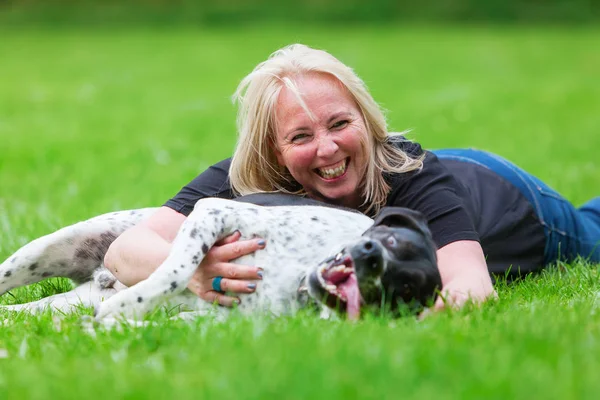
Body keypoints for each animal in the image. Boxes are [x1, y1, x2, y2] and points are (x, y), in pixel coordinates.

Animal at [0, 192, 440, 320]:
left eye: (403, 288)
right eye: (391, 240)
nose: (370, 254)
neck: (296, 277)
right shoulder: (214, 212)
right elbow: (176, 273)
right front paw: (124, 305)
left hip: (56, 302)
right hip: (41, 252)